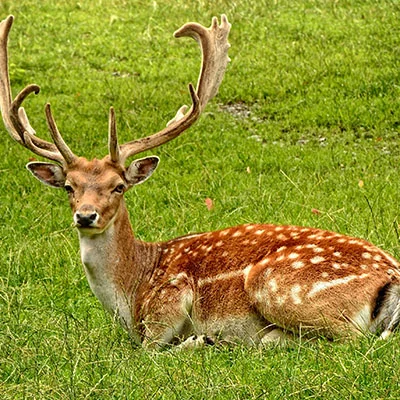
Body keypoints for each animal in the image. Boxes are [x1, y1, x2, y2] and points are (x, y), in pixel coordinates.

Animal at [0, 14, 400, 348]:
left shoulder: (170, 299)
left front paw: (196, 340)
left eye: (119, 186)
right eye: (69, 186)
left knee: (351, 340)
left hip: (277, 286)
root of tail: (391, 277)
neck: (132, 292)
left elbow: (149, 351)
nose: (86, 215)